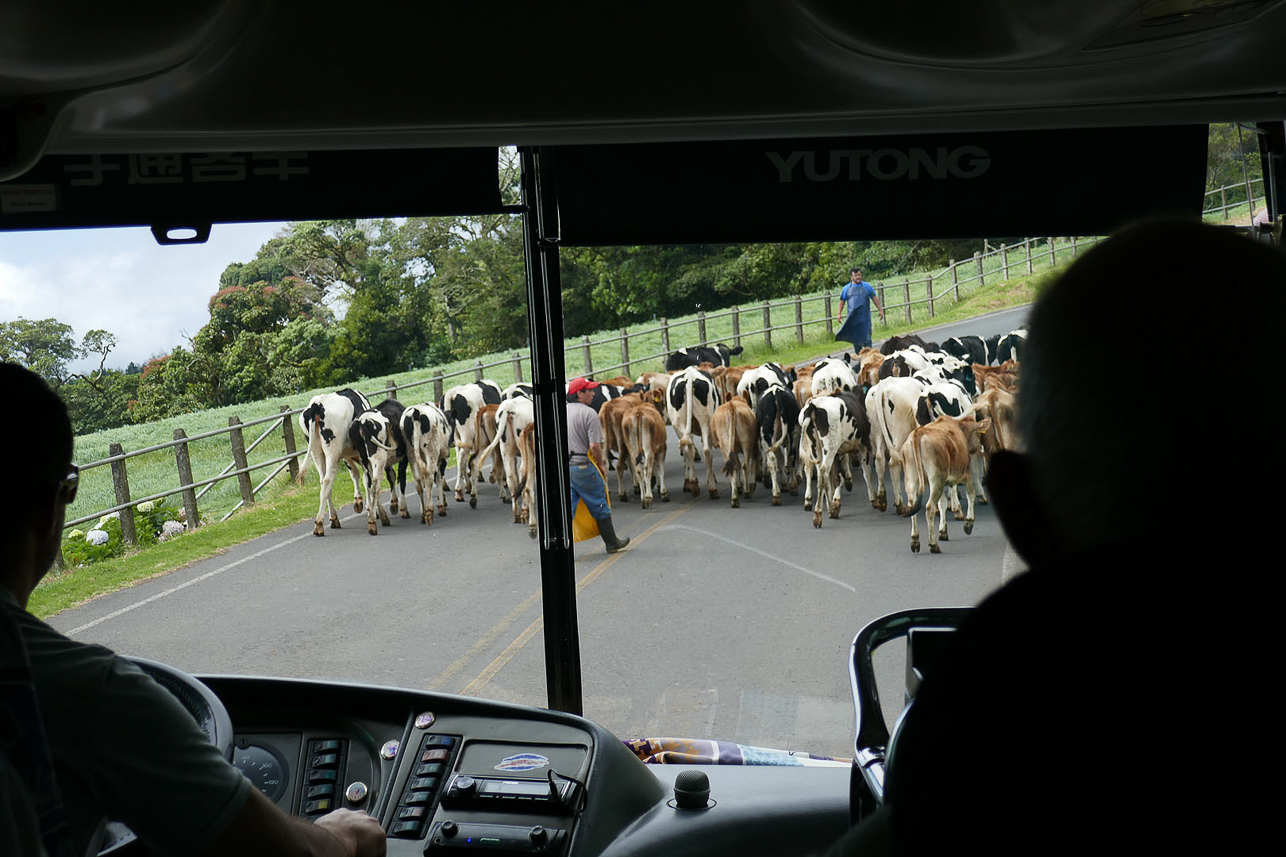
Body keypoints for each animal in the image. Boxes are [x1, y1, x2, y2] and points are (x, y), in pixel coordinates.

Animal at [302, 386, 375, 535]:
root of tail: (316, 403)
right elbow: (366, 478)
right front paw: (368, 506)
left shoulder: (347, 454)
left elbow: (355, 474)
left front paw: (359, 501)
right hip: (332, 450)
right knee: (327, 480)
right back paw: (319, 523)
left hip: (317, 452)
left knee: (323, 481)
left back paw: (333, 518)